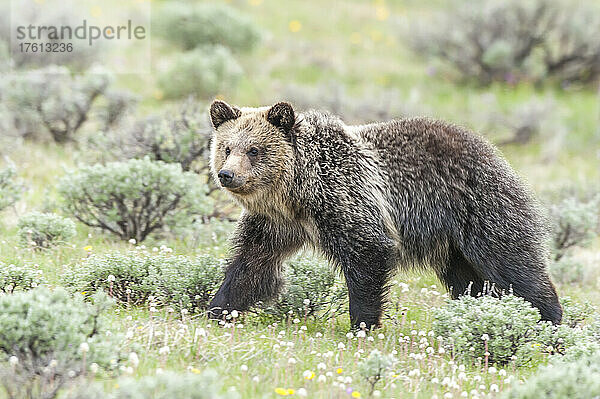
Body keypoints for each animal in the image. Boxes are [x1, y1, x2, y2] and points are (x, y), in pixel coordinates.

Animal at [207, 101, 564, 330]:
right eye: (227, 147)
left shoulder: (347, 199)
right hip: (452, 244)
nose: (227, 174)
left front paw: (362, 324)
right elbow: (250, 265)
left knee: (513, 264)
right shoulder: (275, 224)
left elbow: (367, 254)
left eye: (254, 149)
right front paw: (218, 308)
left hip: (479, 208)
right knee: (469, 280)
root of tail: (493, 150)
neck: (297, 194)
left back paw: (548, 320)